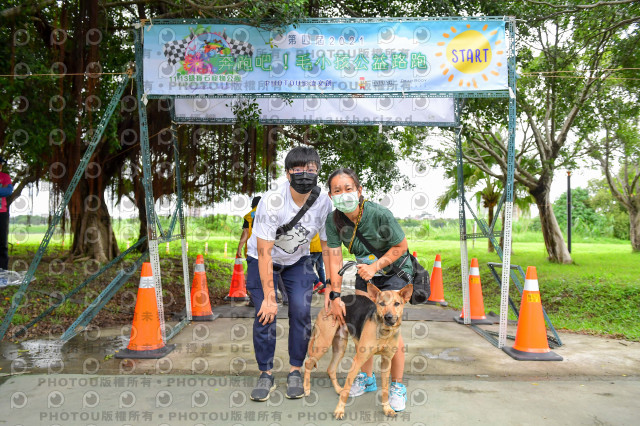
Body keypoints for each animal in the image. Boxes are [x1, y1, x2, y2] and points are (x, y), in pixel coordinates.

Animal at [302, 282, 412, 420]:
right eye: (381, 304)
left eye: (397, 304)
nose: (388, 317)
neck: (384, 332)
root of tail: (328, 306)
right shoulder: (358, 359)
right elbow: (347, 389)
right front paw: (339, 410)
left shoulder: (386, 362)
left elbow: (385, 390)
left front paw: (387, 409)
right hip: (324, 343)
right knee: (308, 363)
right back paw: (306, 388)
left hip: (340, 347)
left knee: (330, 369)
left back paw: (338, 389)